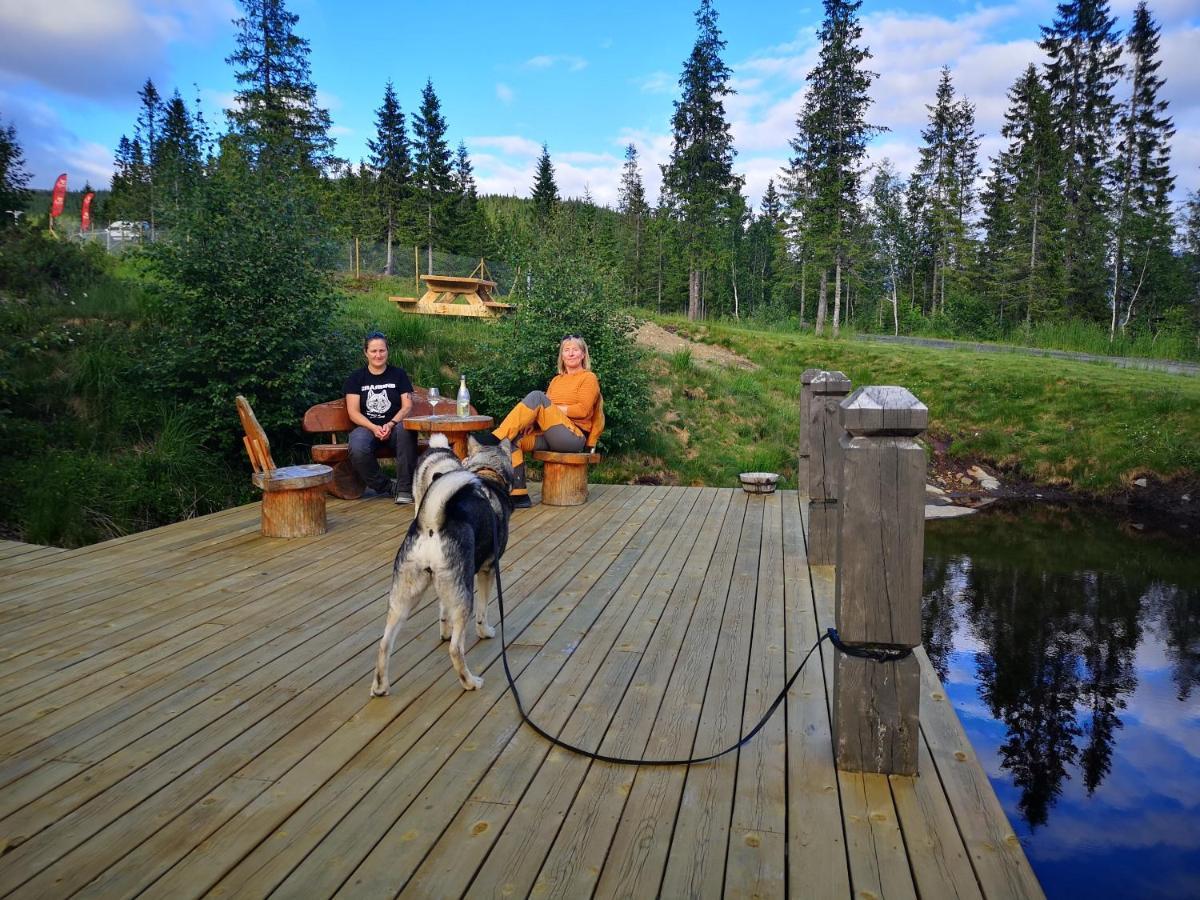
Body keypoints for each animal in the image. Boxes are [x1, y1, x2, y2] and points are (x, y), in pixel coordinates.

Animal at [367, 432, 513, 696]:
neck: (487, 474)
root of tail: (431, 524)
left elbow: (443, 612)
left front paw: (444, 631)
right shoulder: (487, 571)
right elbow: (483, 612)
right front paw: (485, 632)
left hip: (404, 598)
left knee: (384, 644)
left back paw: (381, 686)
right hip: (464, 597)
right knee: (456, 649)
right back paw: (470, 682)